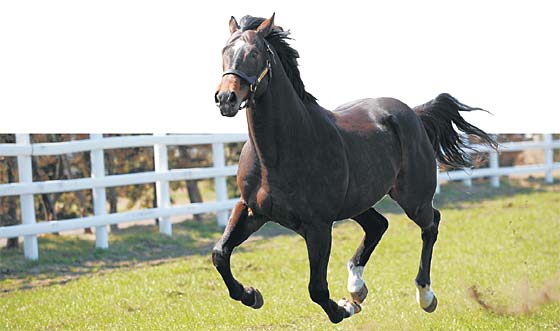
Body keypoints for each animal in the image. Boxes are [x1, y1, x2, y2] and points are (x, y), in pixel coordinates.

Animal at [212, 13, 496, 324]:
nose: (226, 99)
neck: (278, 153)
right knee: (378, 225)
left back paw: (425, 296)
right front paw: (251, 295)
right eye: (224, 51)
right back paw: (357, 287)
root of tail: (414, 113)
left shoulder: (318, 226)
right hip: (357, 201)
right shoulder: (251, 210)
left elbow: (317, 288)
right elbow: (220, 254)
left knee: (430, 224)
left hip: (413, 199)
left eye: (254, 53)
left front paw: (344, 308)